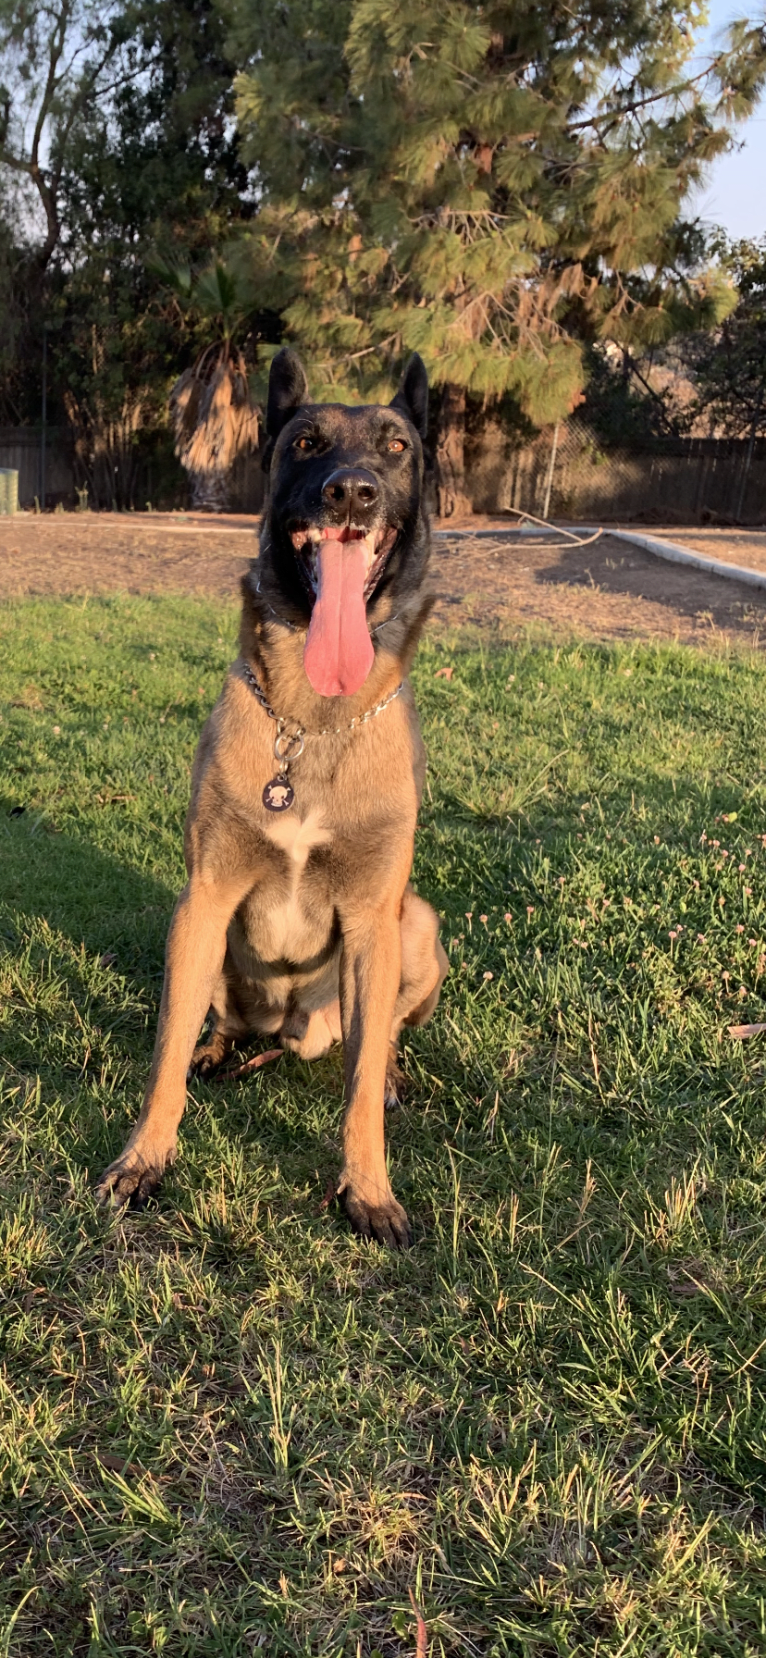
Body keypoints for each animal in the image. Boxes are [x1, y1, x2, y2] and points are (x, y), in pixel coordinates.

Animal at [100, 353, 447, 1253]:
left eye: (397, 446)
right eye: (306, 443)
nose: (352, 493)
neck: (313, 718)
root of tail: (291, 1031)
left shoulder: (373, 918)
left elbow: (358, 1094)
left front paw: (368, 1190)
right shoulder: (205, 896)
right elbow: (161, 1059)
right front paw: (145, 1158)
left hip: (415, 924)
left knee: (374, 1041)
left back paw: (384, 1071)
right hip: (207, 938)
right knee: (215, 1023)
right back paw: (218, 1050)